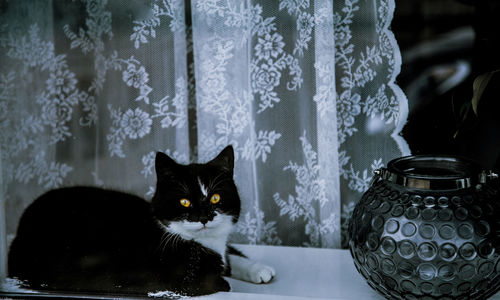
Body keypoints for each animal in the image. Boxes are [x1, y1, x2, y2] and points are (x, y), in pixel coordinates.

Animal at [7, 145, 274, 296]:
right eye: (185, 202)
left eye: (216, 197)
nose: (204, 217)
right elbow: (218, 280)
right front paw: (226, 277)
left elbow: (228, 255)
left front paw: (258, 268)